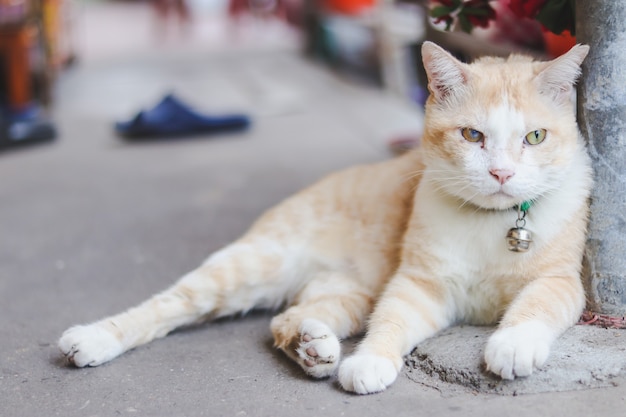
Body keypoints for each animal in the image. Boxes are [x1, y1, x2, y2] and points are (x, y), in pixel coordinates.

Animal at [58, 41, 588, 394]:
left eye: (535, 137)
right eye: (473, 135)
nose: (502, 173)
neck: (491, 223)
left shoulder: (562, 281)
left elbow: (534, 305)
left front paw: (512, 344)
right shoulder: (419, 284)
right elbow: (393, 320)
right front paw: (370, 362)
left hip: (348, 294)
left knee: (285, 318)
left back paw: (313, 346)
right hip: (250, 266)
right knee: (168, 305)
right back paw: (92, 338)